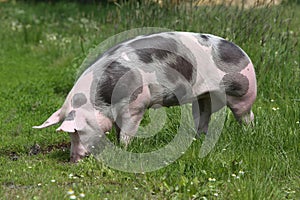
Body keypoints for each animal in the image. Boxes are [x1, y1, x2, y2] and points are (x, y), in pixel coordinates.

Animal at [34, 31, 256, 162]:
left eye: (76, 132)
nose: (73, 160)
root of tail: (242, 51)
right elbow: (117, 128)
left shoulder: (135, 105)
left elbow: (127, 131)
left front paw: (123, 148)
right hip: (203, 97)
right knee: (204, 115)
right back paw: (197, 139)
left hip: (243, 91)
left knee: (246, 115)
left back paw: (247, 134)